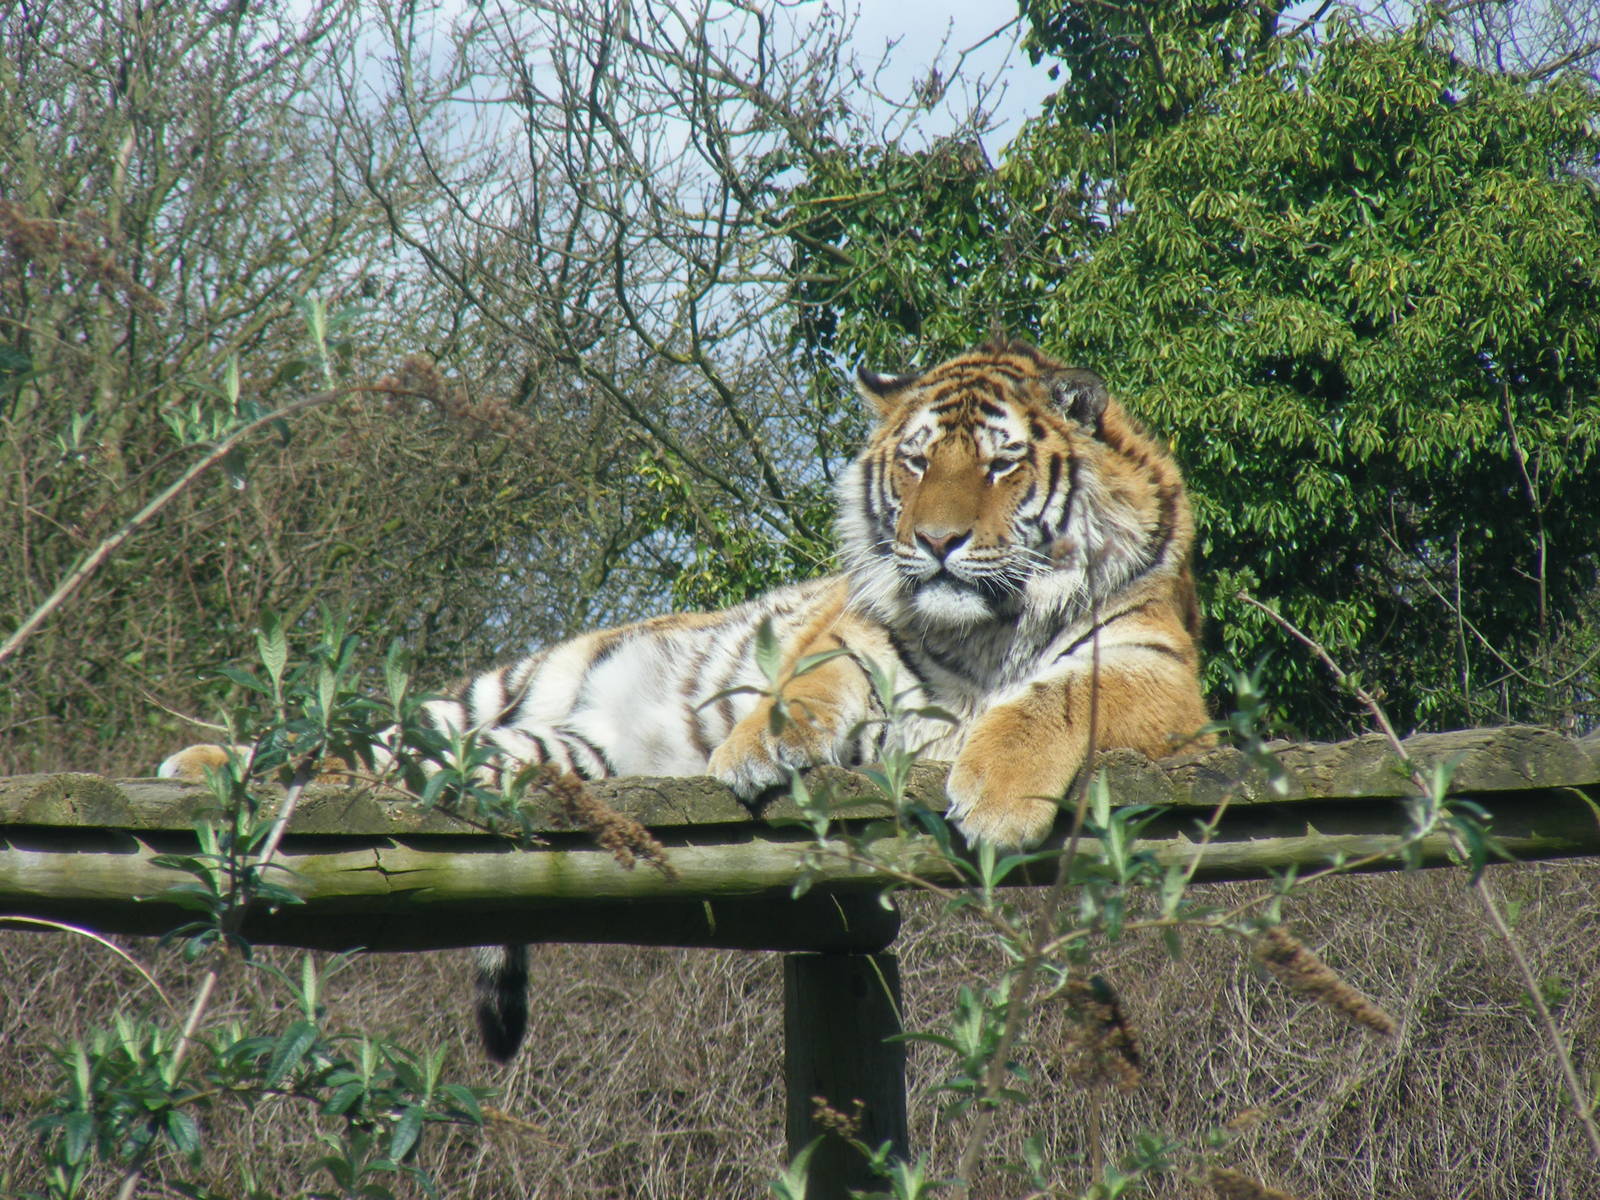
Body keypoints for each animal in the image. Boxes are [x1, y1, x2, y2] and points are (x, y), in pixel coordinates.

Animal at [160, 337, 1210, 1060]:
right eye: (916, 462)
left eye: (999, 464)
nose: (937, 542)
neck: (986, 626)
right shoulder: (854, 635)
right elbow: (806, 681)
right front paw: (751, 749)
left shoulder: (1157, 665)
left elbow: (1057, 698)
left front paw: (993, 795)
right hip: (486, 698)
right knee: (361, 742)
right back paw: (203, 764)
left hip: (548, 753)